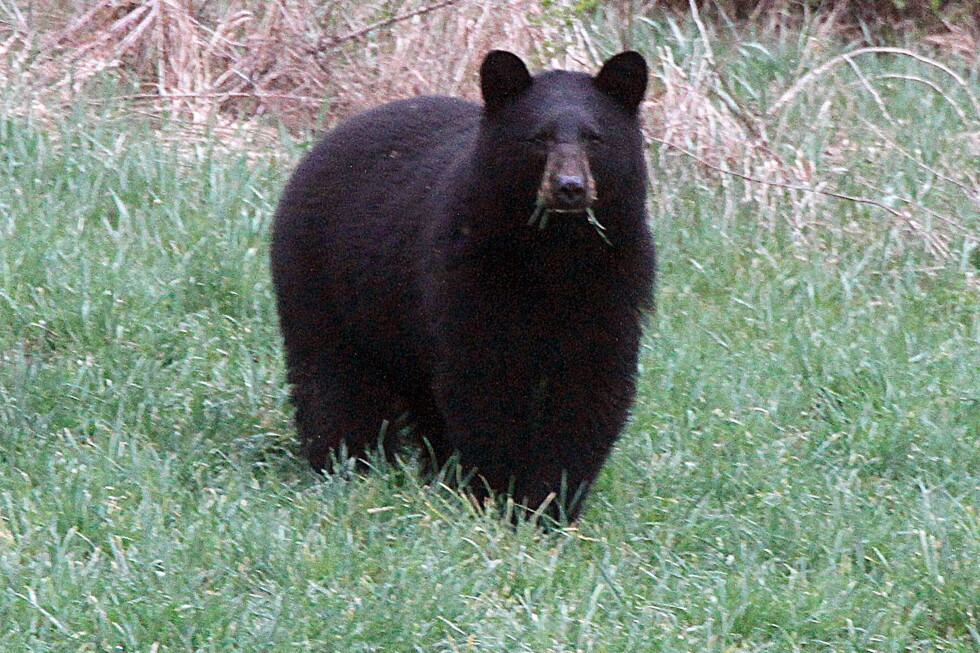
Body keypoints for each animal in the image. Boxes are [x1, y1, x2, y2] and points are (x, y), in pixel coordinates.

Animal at [270, 50, 655, 522]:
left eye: (594, 138)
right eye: (539, 138)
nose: (569, 188)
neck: (554, 254)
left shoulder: (614, 282)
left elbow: (589, 390)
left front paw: (549, 505)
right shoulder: (469, 273)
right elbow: (482, 383)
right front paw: (495, 494)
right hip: (323, 278)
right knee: (332, 377)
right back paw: (346, 463)